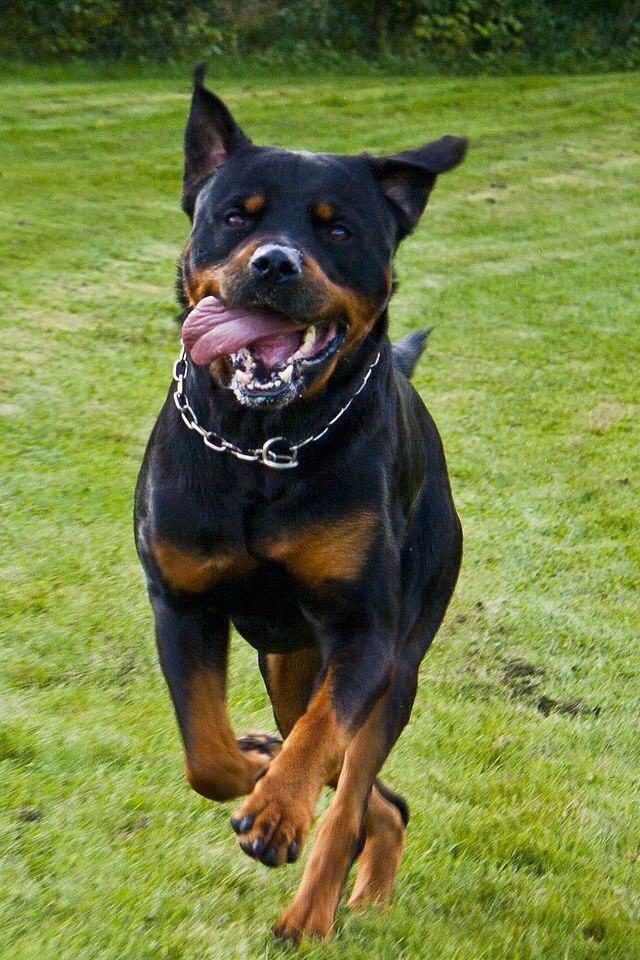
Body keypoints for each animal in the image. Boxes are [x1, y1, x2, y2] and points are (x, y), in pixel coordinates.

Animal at [134, 69, 464, 944]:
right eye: (233, 215)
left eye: (338, 228)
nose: (276, 263)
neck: (263, 446)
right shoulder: (180, 600)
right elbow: (205, 751)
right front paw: (251, 768)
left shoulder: (365, 632)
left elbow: (320, 741)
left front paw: (278, 809)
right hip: (286, 660)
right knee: (368, 790)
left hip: (401, 659)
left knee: (350, 790)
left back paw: (313, 912)